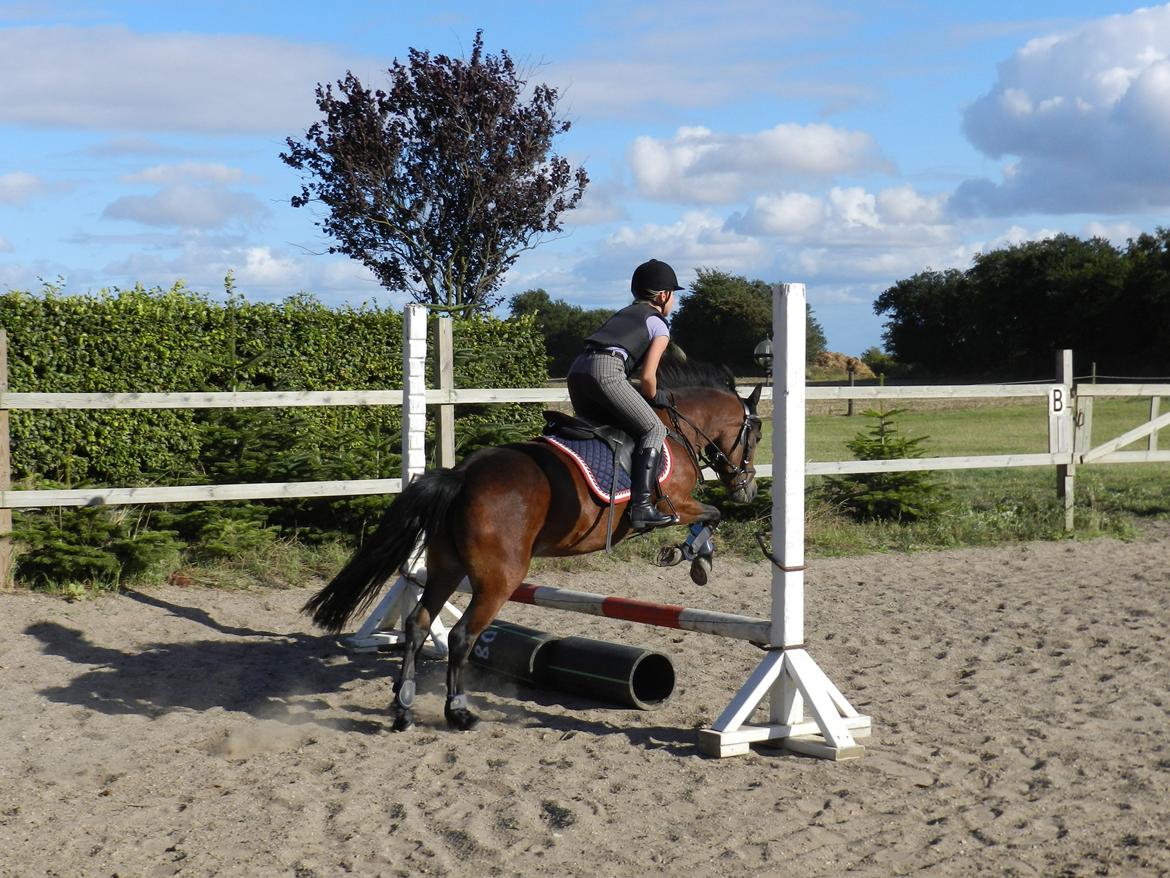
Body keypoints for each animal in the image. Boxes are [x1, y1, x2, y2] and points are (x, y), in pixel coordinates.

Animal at [301, 360, 762, 730]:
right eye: (754, 436)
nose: (748, 489)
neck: (677, 429)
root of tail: (462, 476)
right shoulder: (677, 504)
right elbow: (710, 516)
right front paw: (694, 557)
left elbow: (710, 517)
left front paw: (691, 555)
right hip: (499, 579)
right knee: (462, 636)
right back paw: (459, 712)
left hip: (445, 567)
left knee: (418, 623)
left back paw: (404, 707)